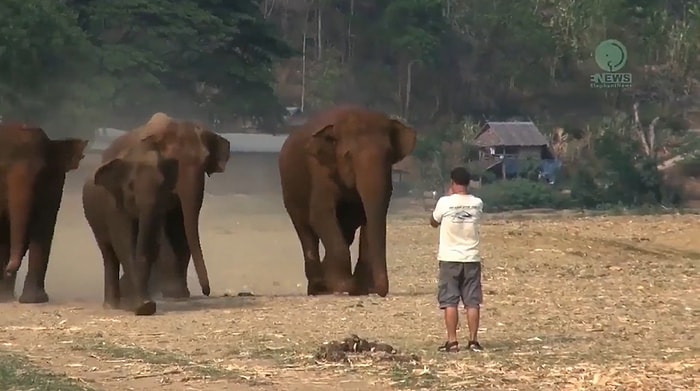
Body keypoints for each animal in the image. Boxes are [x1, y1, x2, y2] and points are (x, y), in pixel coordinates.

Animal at [0, 122, 89, 304]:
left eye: (41, 173)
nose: (8, 270)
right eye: (2, 170)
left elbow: (43, 227)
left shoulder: (54, 184)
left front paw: (34, 300)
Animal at [82, 134, 180, 316]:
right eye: (131, 186)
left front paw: (145, 306)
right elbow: (124, 244)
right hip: (94, 220)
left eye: (163, 184)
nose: (148, 304)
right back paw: (112, 306)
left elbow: (150, 244)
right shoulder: (114, 205)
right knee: (108, 254)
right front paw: (143, 306)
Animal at [104, 112, 230, 298]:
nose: (206, 291)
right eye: (173, 162)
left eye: (205, 161)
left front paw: (181, 293)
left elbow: (181, 228)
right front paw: (174, 293)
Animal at [278, 106, 416, 298]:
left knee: (346, 232)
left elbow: (367, 218)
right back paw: (318, 288)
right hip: (290, 193)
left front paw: (361, 289)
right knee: (306, 232)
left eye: (389, 155)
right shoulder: (320, 171)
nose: (379, 290)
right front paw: (344, 286)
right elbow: (320, 214)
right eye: (348, 155)